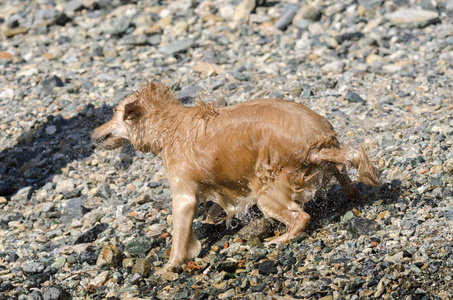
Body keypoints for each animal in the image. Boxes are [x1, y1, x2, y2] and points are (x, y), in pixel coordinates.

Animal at [92, 82, 382, 274]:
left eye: (114, 113)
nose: (93, 134)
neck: (168, 127)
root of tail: (317, 144)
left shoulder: (184, 195)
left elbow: (179, 238)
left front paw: (169, 266)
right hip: (328, 167)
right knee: (345, 177)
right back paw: (354, 196)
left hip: (268, 192)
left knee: (301, 216)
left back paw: (279, 239)